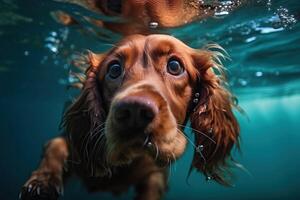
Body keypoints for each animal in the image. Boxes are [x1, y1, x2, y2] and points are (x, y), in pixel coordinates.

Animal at [19, 33, 240, 199]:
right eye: (114, 69)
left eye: (175, 66)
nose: (135, 111)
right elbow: (56, 145)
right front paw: (42, 181)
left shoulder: (156, 173)